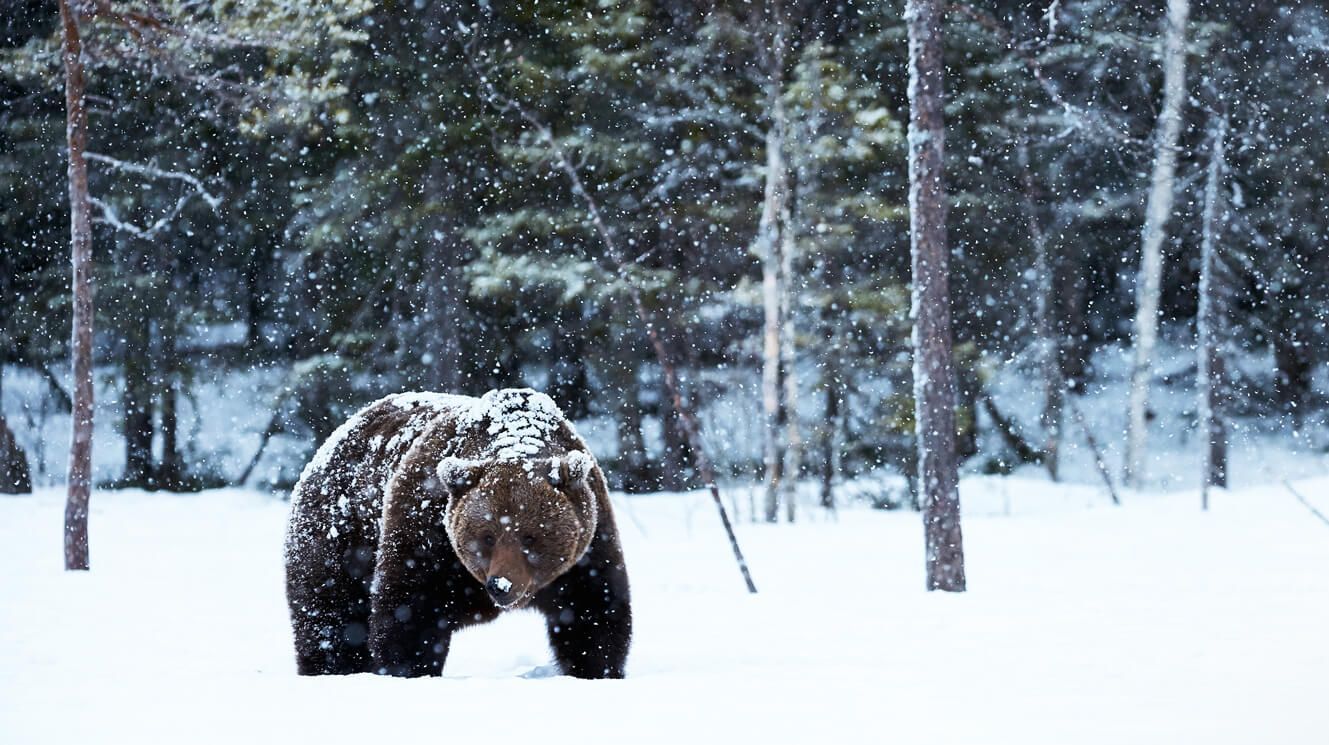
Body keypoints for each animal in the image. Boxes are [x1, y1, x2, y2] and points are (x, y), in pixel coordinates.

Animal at [281, 390, 632, 679]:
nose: (501, 585)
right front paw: (409, 670)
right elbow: (408, 615)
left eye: (530, 537)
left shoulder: (587, 548)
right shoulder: (425, 531)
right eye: (488, 536)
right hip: (340, 534)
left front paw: (597, 671)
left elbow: (594, 615)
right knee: (330, 616)